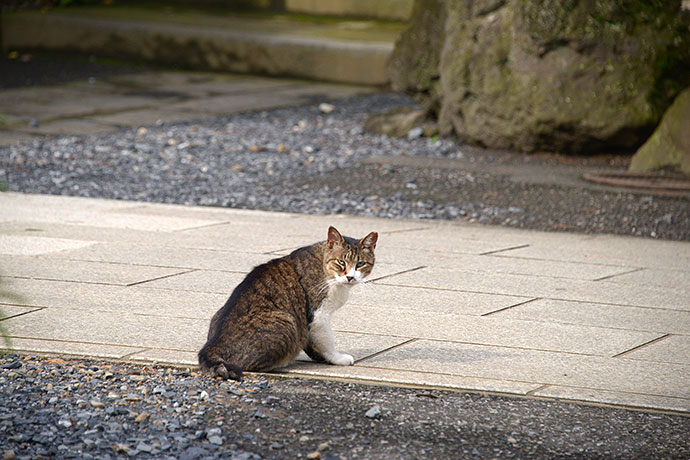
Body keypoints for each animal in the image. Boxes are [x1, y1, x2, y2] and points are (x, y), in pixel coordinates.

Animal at [199, 225, 376, 380]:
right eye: (341, 262)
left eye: (360, 264)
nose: (350, 277)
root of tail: (213, 344)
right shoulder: (319, 316)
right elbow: (326, 343)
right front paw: (337, 358)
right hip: (287, 321)